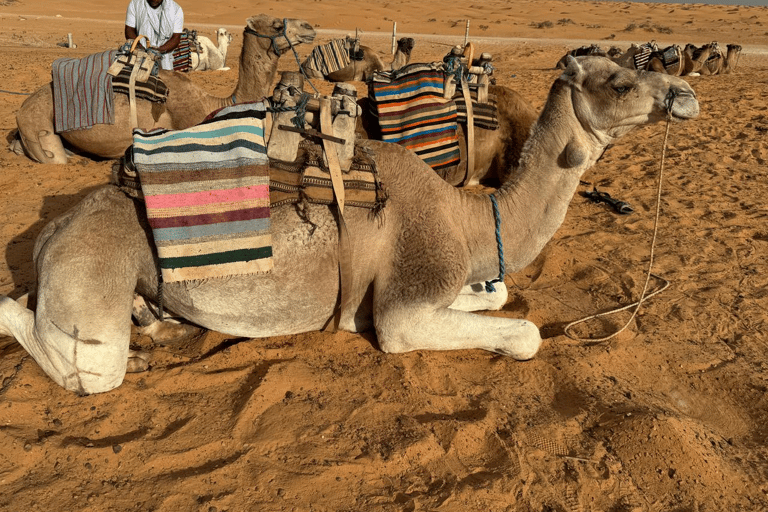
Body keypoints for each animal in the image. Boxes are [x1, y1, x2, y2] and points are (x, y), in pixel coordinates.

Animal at [0, 56, 700, 394]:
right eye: (621, 81)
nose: (685, 94)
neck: (468, 219)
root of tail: (51, 236)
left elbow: (499, 293)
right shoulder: (403, 307)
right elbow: (525, 333)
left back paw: (160, 329)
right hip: (90, 287)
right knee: (64, 348)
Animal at [14, 15, 316, 164]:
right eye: (276, 25)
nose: (310, 27)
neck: (216, 104)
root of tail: (21, 109)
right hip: (37, 126)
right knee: (55, 158)